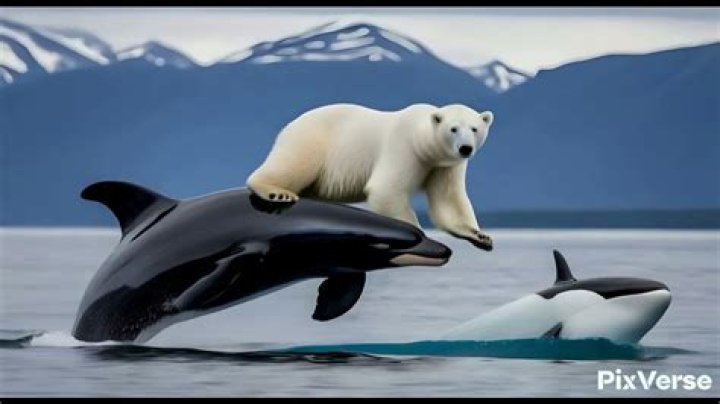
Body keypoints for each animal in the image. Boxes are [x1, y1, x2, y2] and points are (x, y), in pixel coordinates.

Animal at [246, 103, 495, 251]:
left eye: (474, 129)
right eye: (454, 129)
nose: (465, 148)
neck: (423, 142)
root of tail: (289, 125)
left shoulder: (444, 165)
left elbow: (447, 200)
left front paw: (479, 235)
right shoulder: (404, 148)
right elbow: (387, 189)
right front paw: (418, 234)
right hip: (311, 139)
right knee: (294, 163)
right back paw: (275, 191)